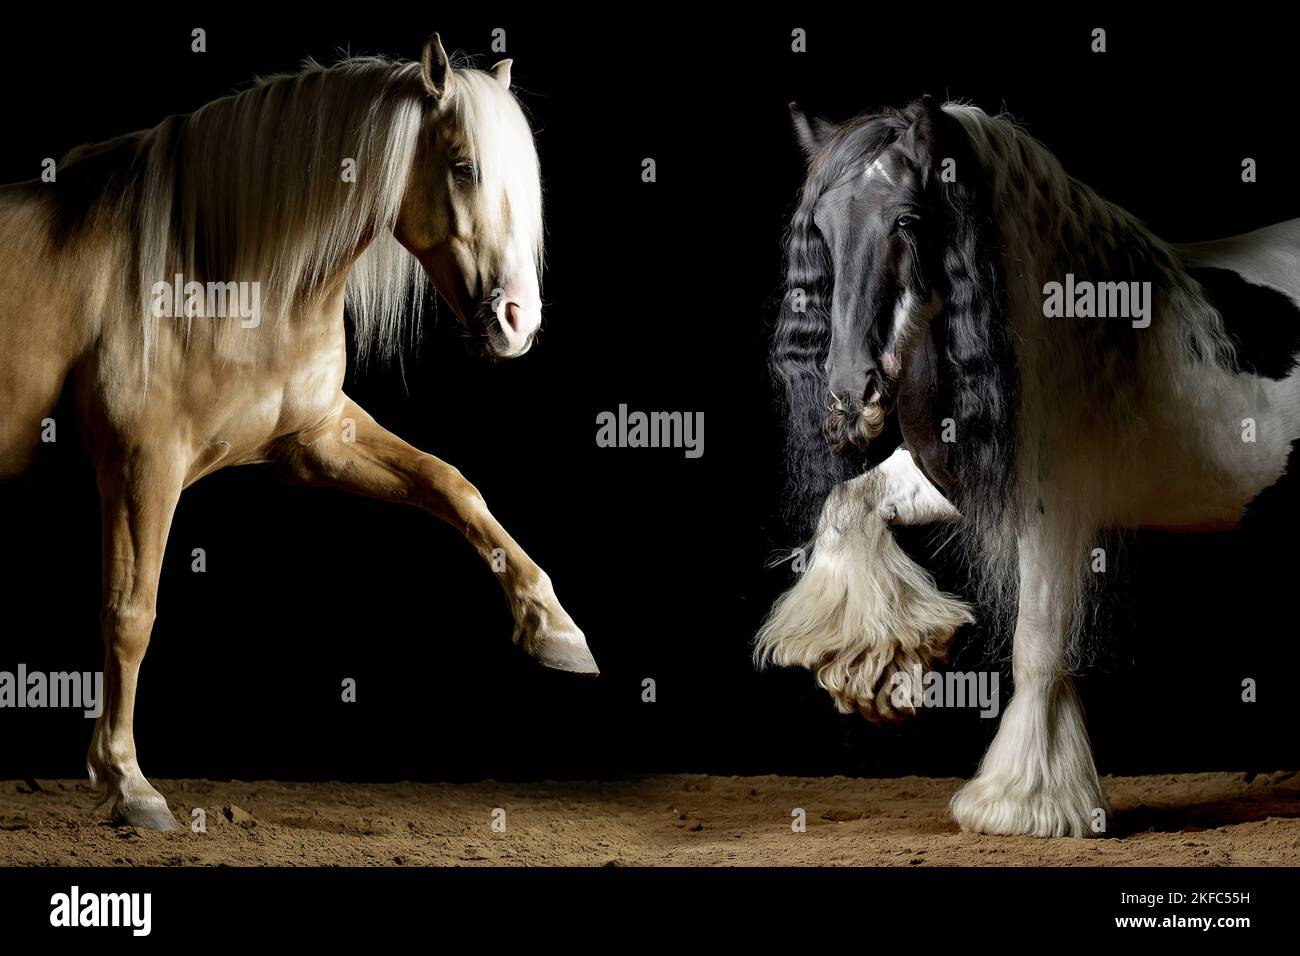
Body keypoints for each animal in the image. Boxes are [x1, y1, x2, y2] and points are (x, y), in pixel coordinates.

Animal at [0, 34, 598, 832]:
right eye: (464, 166)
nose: (517, 321)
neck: (213, 270)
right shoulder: (140, 465)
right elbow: (131, 612)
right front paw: (128, 782)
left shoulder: (317, 439)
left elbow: (452, 485)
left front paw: (555, 627)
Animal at [756, 95, 1300, 837]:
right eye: (823, 229)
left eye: (907, 220)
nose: (850, 393)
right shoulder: (959, 479)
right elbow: (849, 503)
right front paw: (876, 666)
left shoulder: (1052, 514)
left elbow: (1035, 645)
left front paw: (1024, 801)